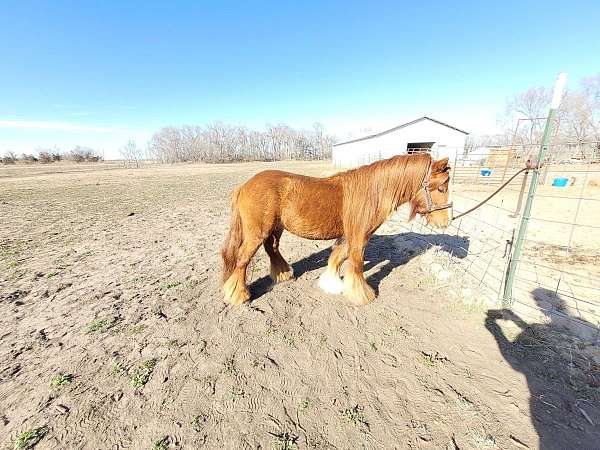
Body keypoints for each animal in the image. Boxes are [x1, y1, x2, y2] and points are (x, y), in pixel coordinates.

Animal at [220, 152, 450, 306]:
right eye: (441, 188)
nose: (445, 222)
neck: (372, 192)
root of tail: (244, 186)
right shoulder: (359, 236)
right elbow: (356, 264)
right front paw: (362, 295)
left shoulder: (348, 235)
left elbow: (338, 258)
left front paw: (331, 284)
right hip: (257, 233)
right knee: (242, 259)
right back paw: (239, 295)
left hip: (274, 229)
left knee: (272, 249)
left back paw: (283, 275)